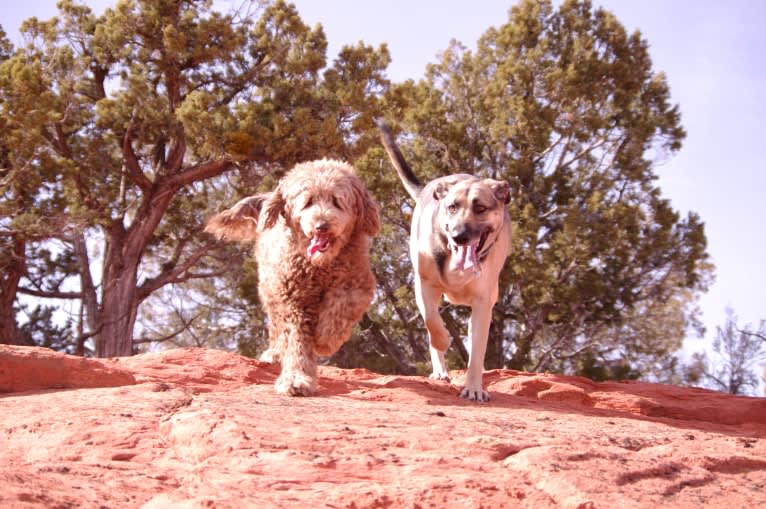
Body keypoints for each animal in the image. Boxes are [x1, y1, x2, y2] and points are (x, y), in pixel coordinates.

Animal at [207, 159, 380, 396]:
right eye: (308, 202)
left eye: (337, 201)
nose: (322, 225)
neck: (320, 266)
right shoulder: (293, 299)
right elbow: (296, 341)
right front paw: (296, 379)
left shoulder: (357, 283)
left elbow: (341, 309)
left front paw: (325, 339)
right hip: (270, 288)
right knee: (276, 327)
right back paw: (274, 353)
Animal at [380, 124, 512, 400]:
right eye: (452, 207)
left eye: (480, 208)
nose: (459, 235)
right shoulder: (424, 285)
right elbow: (432, 322)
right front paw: (443, 340)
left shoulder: (483, 302)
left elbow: (477, 352)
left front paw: (474, 388)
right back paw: (440, 369)